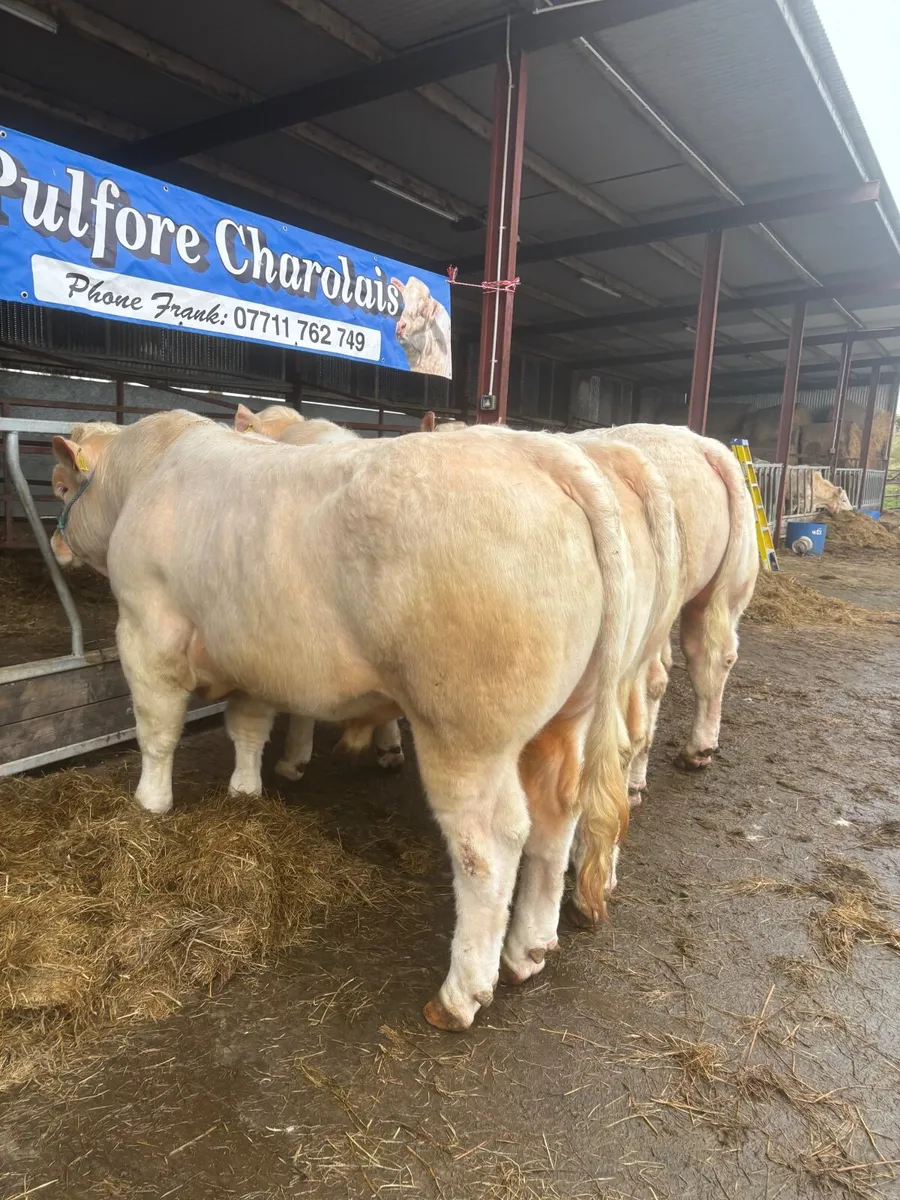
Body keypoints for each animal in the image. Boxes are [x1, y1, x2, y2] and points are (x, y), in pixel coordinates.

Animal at [50, 410, 632, 1030]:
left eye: (60, 486)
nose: (57, 545)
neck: (144, 474)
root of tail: (535, 451)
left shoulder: (146, 633)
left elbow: (157, 730)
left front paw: (150, 803)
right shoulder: (253, 656)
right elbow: (248, 728)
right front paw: (246, 791)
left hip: (466, 733)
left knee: (491, 843)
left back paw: (460, 995)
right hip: (566, 717)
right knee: (557, 811)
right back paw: (530, 949)